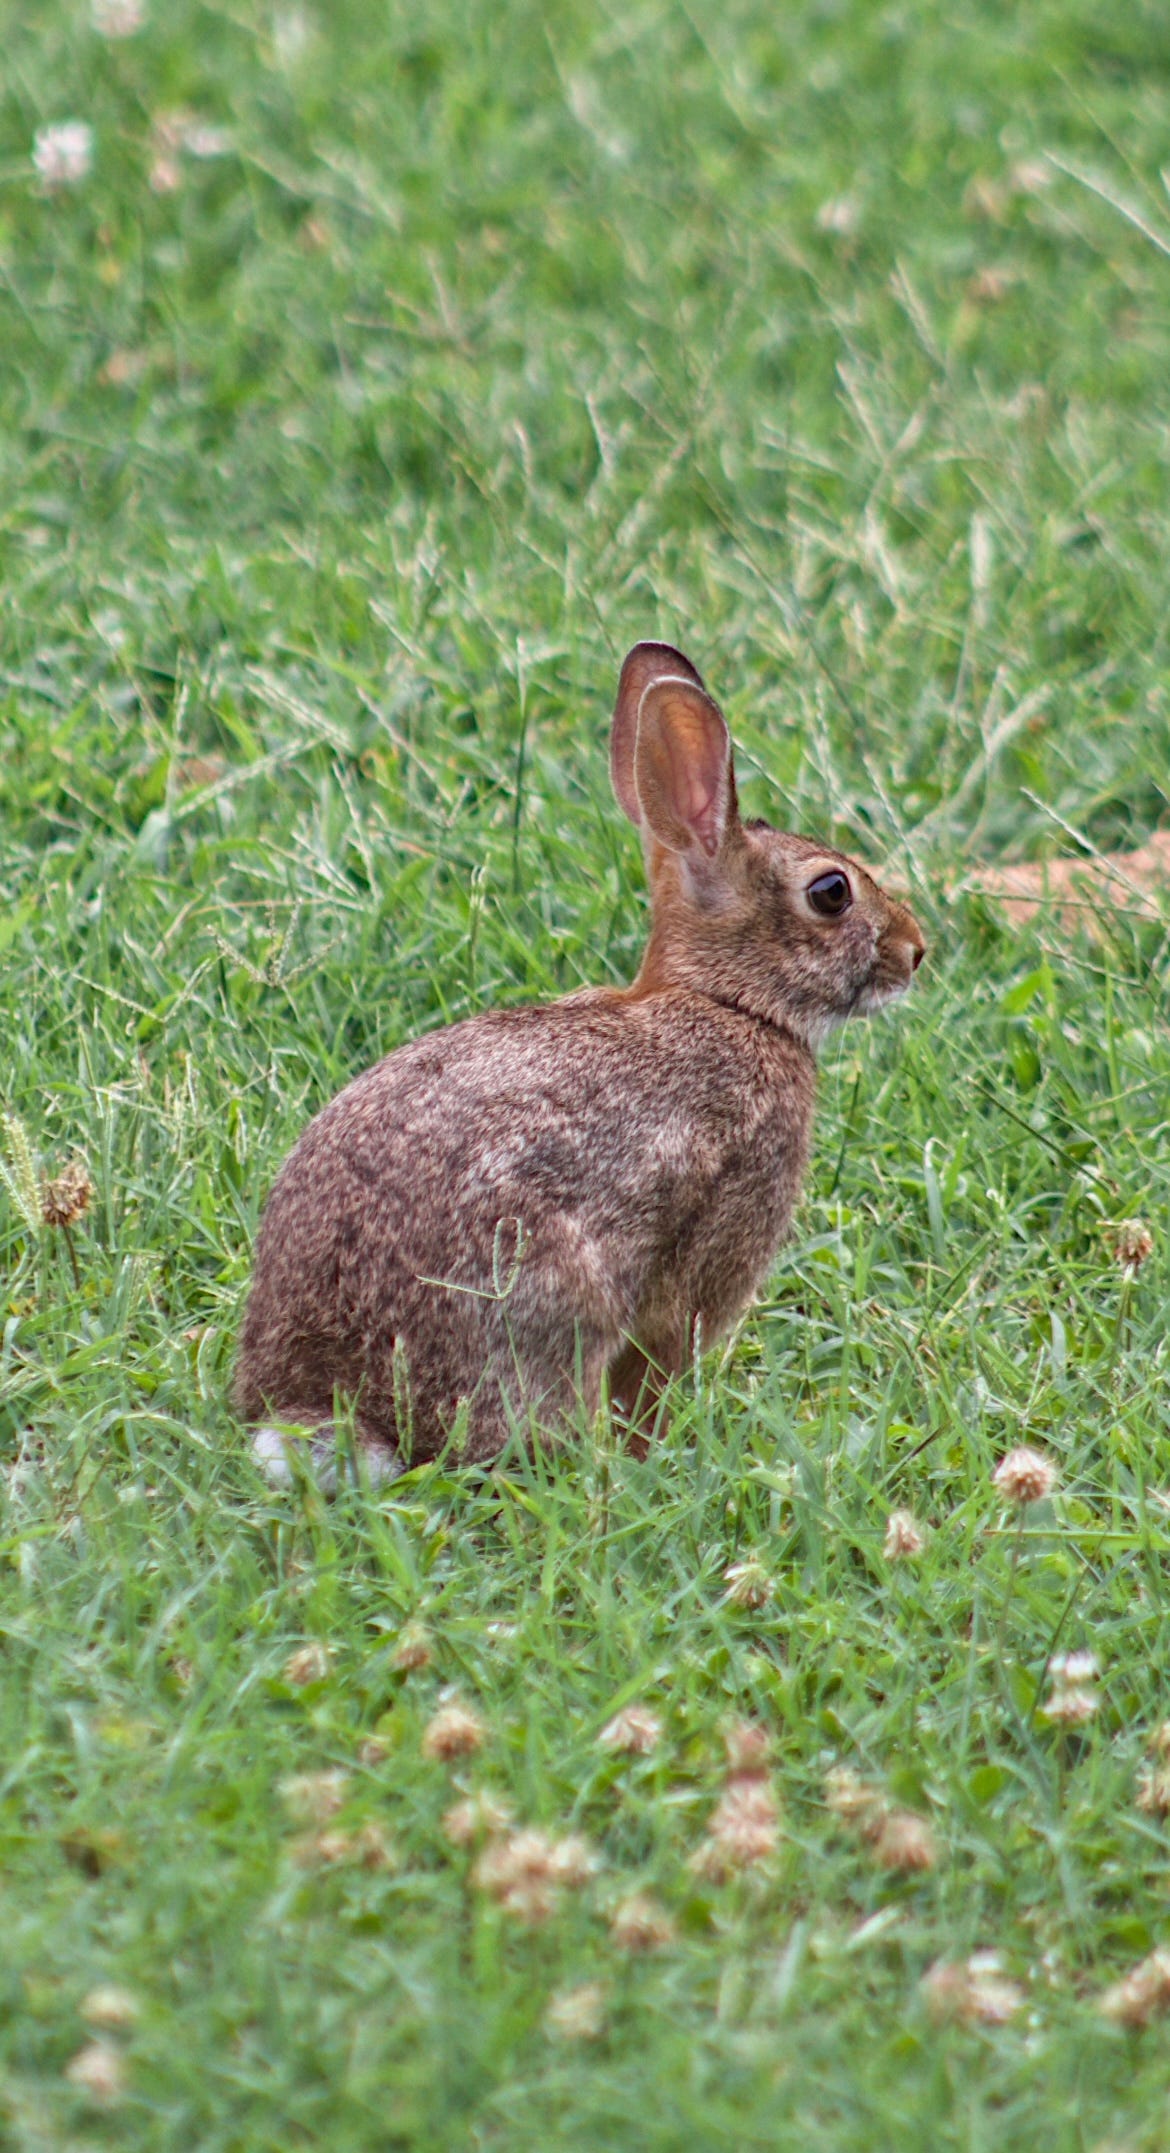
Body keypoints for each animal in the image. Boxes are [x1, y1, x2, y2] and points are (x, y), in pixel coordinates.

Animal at [235, 637, 926, 1481]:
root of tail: (332, 1408)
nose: (916, 949)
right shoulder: (708, 1252)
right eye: (831, 892)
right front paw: (653, 1451)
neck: (730, 1004)